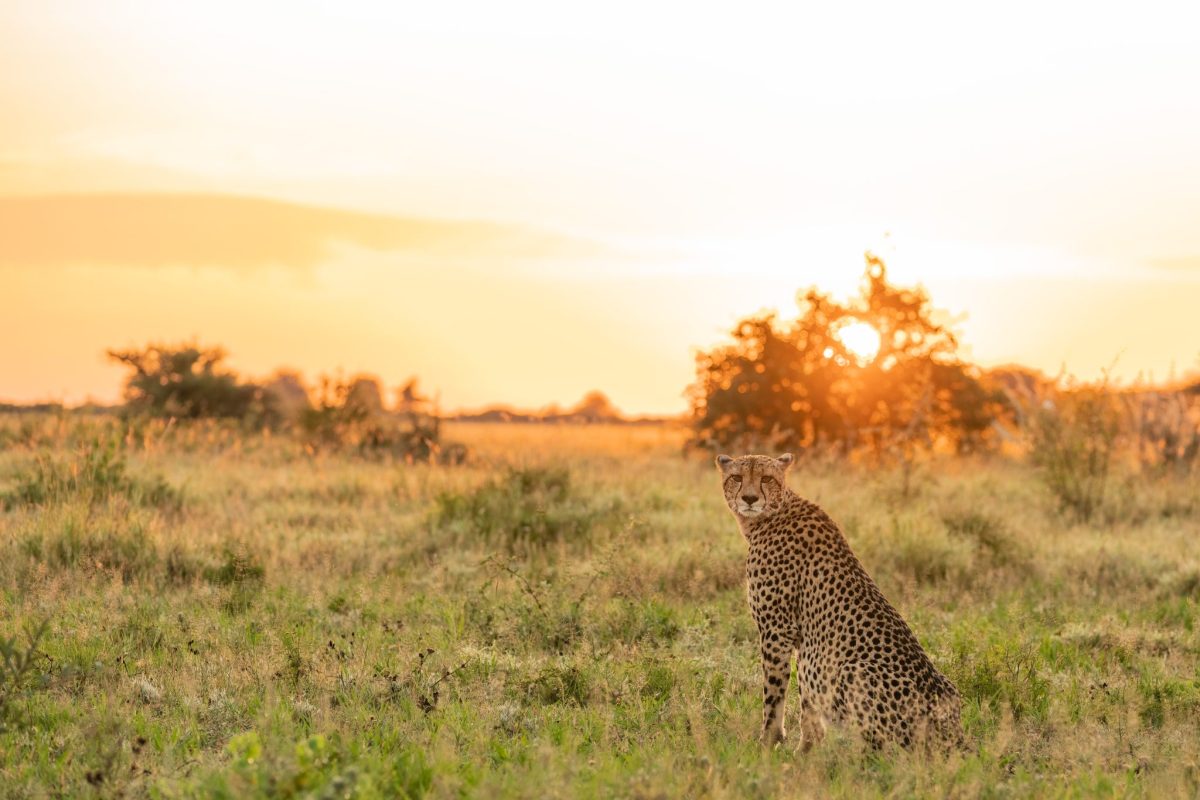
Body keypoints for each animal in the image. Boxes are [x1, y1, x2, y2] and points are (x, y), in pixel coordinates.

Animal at [716, 452, 962, 751]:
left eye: (766, 478)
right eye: (737, 477)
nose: (750, 498)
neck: (772, 514)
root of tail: (955, 737)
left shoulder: (777, 630)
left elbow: (774, 693)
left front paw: (768, 743)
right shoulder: (804, 641)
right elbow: (807, 703)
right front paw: (806, 750)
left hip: (853, 671)